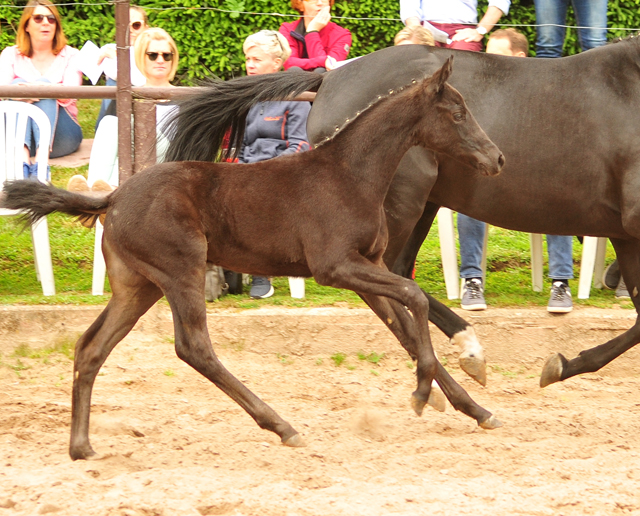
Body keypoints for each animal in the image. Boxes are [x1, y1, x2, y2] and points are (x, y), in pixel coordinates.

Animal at [2, 59, 508, 460]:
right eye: (457, 112)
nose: (497, 159)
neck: (350, 175)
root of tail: (113, 197)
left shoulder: (369, 267)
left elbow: (404, 326)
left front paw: (477, 409)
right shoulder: (336, 267)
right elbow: (415, 298)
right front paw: (423, 394)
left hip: (137, 286)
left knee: (91, 348)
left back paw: (81, 447)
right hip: (180, 270)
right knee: (194, 348)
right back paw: (283, 426)